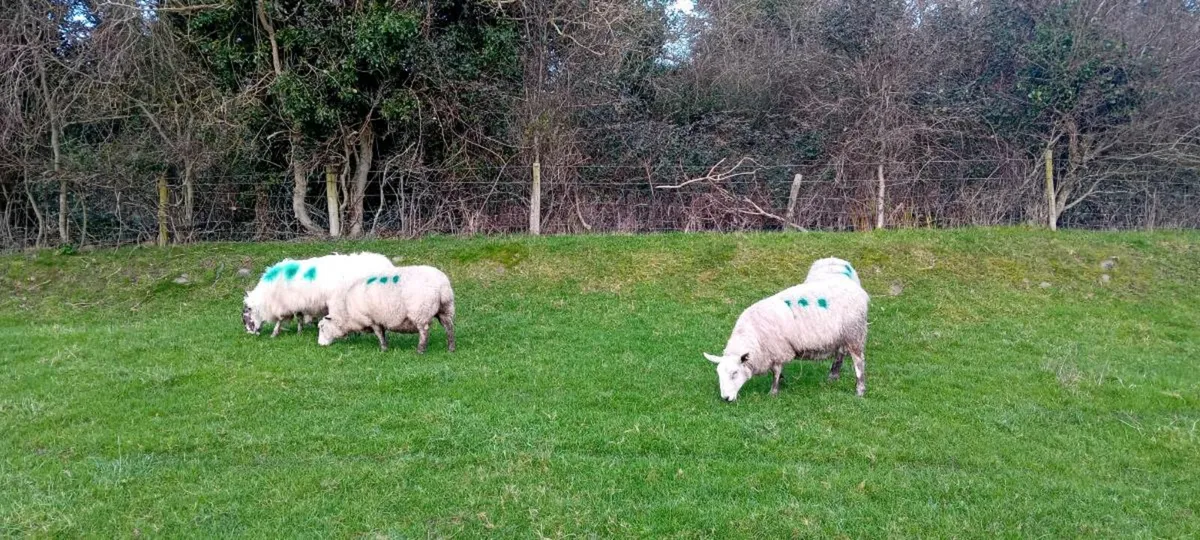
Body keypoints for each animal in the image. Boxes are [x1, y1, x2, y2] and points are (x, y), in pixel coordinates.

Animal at [242, 252, 396, 337]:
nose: (251, 334)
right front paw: (300, 331)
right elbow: (299, 318)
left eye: (245, 317)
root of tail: (387, 265)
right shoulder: (297, 303)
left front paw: (274, 333)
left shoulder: (285, 304)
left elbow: (280, 320)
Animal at [317, 265, 456, 353]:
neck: (346, 313)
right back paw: (451, 348)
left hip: (421, 311)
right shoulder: (380, 319)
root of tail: (441, 285)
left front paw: (383, 349)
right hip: (446, 308)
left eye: (322, 327)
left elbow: (380, 334)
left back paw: (420, 350)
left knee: (424, 331)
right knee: (449, 327)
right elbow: (383, 333)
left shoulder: (372, 319)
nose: (320, 345)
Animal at [704, 257, 869, 401]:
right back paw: (833, 376)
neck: (752, 336)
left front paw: (774, 391)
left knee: (859, 363)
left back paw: (859, 390)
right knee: (840, 352)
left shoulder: (777, 349)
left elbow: (775, 371)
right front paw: (782, 382)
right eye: (719, 374)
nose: (726, 399)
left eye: (735, 373)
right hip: (842, 334)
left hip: (855, 332)